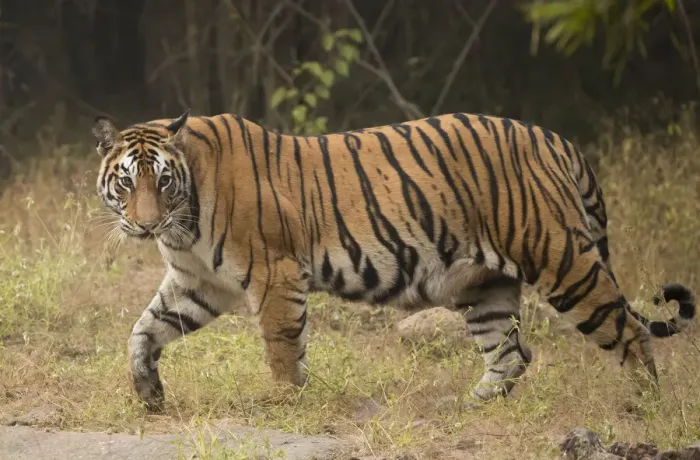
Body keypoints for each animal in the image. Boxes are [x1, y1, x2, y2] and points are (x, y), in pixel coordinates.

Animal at [92, 109, 695, 412]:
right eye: (127, 182)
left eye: (161, 181)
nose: (145, 224)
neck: (183, 221)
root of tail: (554, 138)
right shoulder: (198, 283)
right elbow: (143, 330)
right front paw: (148, 393)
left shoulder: (275, 273)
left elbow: (282, 345)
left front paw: (283, 400)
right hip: (483, 285)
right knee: (512, 353)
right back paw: (471, 403)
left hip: (561, 260)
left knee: (630, 331)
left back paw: (645, 407)